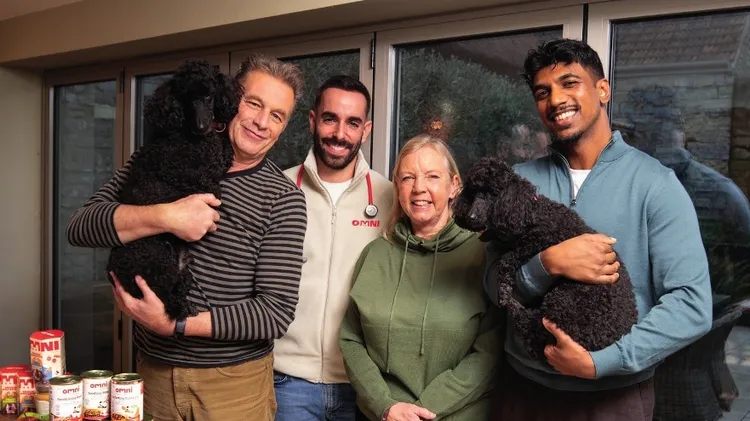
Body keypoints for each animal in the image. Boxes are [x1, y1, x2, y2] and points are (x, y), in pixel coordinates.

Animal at [106, 59, 240, 321]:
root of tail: (114, 272)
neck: (186, 135)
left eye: (209, 96)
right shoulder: (204, 174)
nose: (202, 126)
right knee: (162, 297)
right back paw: (182, 308)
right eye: (186, 98)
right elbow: (222, 158)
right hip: (157, 257)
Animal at [453, 156, 638, 361]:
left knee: (534, 334)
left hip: (562, 301)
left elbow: (508, 259)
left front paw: (503, 288)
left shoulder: (538, 240)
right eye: (472, 192)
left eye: (493, 194)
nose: (471, 217)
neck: (530, 213)